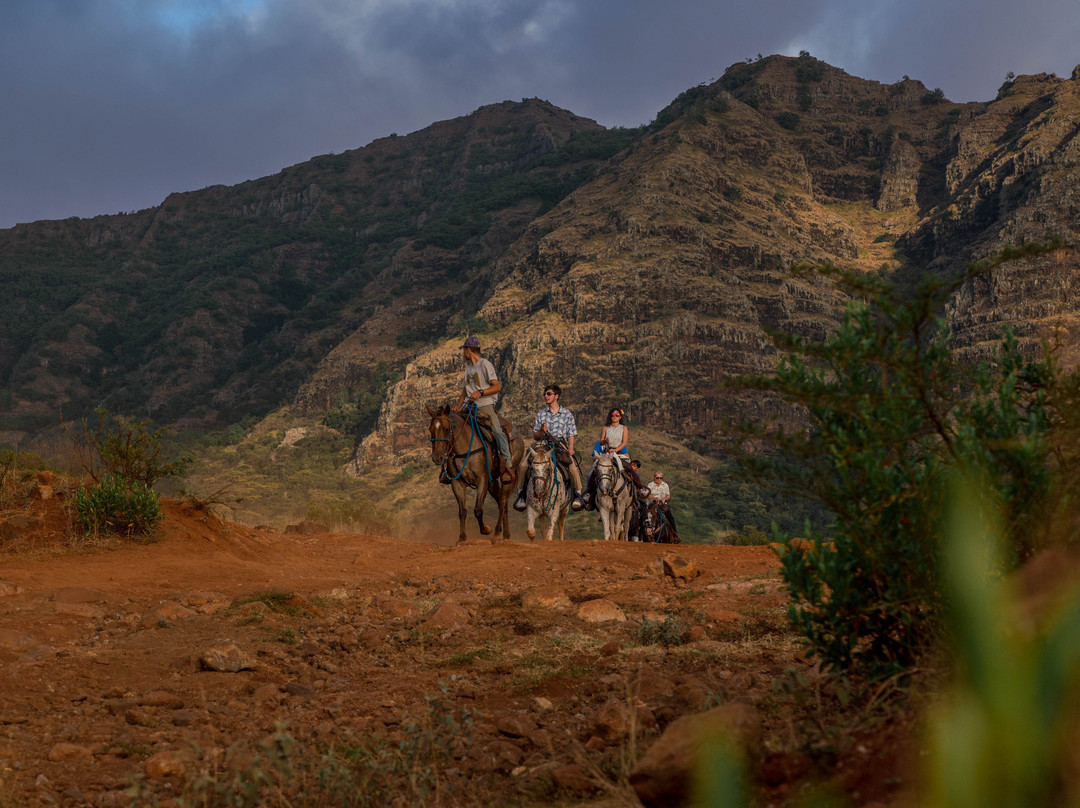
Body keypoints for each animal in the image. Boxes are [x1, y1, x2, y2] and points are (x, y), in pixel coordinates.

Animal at [425, 401, 522, 546]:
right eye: (430, 429)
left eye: (447, 429)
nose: (437, 458)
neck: (464, 449)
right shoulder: (457, 483)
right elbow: (462, 511)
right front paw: (462, 537)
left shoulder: (482, 480)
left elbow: (478, 509)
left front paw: (486, 529)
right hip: (492, 482)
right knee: (501, 503)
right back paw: (505, 535)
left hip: (507, 477)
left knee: (504, 503)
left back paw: (496, 534)